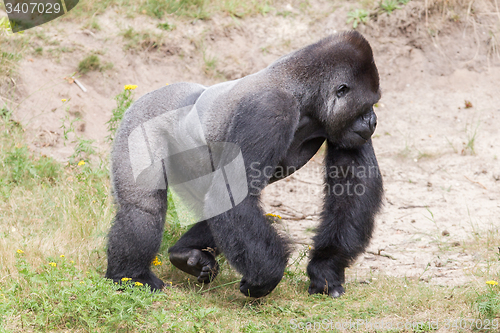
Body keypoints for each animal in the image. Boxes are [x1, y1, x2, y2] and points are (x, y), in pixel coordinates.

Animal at [106, 29, 382, 296]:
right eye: (368, 105)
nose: (373, 121)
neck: (302, 93)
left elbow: (352, 189)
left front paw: (326, 268)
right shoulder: (269, 109)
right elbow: (232, 194)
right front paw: (266, 277)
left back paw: (185, 253)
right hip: (139, 119)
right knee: (143, 207)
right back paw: (131, 276)